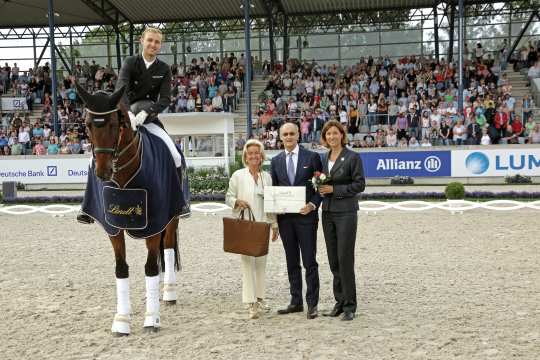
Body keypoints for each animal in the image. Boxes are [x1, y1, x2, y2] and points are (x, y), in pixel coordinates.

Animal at [76, 84, 181, 334]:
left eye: (115, 124)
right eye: (88, 124)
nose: (102, 171)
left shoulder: (154, 224)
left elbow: (151, 268)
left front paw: (152, 319)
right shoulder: (113, 226)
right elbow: (121, 268)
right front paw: (122, 319)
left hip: (171, 217)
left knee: (168, 247)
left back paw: (169, 293)